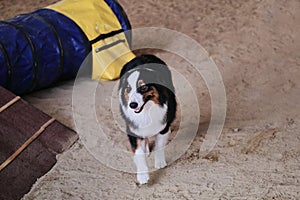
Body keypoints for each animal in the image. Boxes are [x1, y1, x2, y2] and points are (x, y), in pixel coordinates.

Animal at [119, 54, 177, 184]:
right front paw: (142, 175)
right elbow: (139, 152)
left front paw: (160, 163)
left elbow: (159, 146)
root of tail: (144, 55)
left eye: (144, 87)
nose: (132, 105)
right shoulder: (133, 129)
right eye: (128, 89)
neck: (146, 110)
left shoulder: (163, 126)